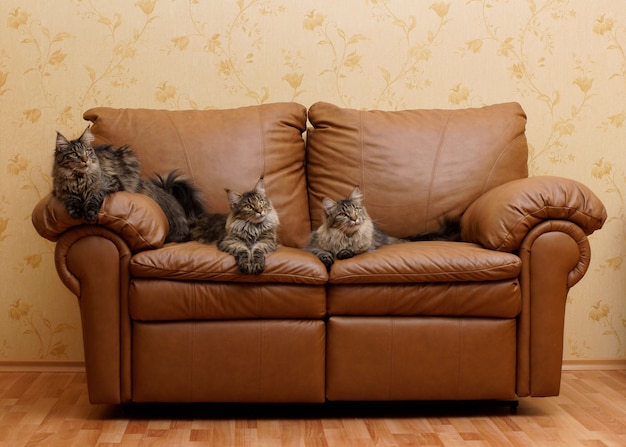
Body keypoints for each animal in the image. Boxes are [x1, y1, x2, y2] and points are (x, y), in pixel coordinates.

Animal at [52, 128, 189, 243]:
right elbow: (70, 199)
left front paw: (89, 213)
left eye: (87, 151)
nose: (85, 160)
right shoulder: (60, 192)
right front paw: (76, 212)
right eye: (75, 154)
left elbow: (94, 195)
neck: (79, 179)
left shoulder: (111, 184)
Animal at [304, 186, 460, 270]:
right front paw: (327, 258)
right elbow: (321, 251)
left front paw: (344, 252)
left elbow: (354, 250)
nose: (354, 219)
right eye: (343, 214)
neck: (347, 236)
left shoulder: (368, 246)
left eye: (356, 209)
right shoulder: (311, 246)